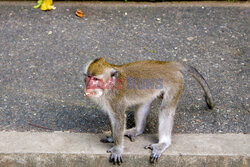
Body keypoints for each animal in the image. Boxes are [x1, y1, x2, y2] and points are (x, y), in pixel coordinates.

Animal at [83, 57, 213, 164]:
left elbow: (119, 118)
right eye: (88, 77)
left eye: (95, 79)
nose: (87, 86)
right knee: (144, 104)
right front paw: (112, 137)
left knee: (165, 110)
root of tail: (168, 64)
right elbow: (112, 117)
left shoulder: (115, 98)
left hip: (175, 84)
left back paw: (163, 143)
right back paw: (138, 130)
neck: (110, 86)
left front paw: (118, 149)